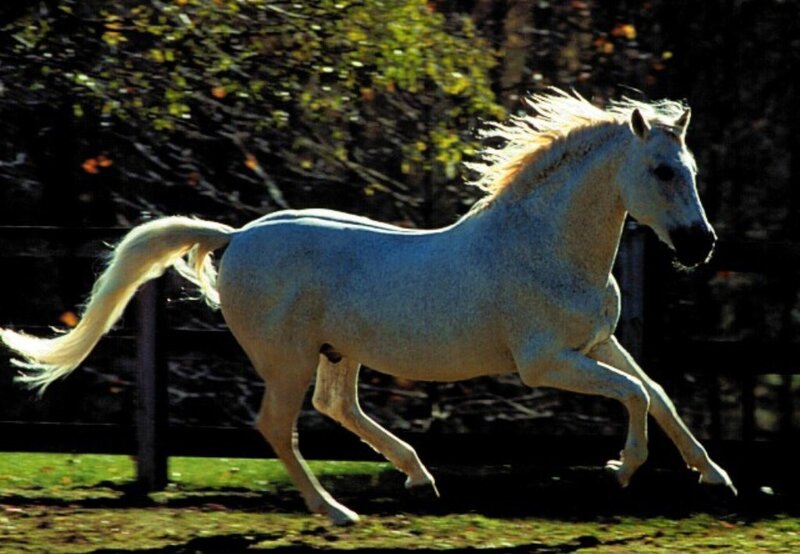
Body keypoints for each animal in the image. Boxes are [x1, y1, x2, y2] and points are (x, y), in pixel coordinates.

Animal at [1, 90, 735, 525]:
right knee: (278, 425)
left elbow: (659, 394)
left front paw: (716, 477)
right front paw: (622, 470)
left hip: (338, 353)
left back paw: (418, 477)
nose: (700, 246)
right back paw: (337, 512)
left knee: (336, 407)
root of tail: (233, 237)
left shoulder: (596, 343)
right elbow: (634, 397)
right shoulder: (545, 363)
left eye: (694, 169)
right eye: (663, 171)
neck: (544, 246)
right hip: (287, 359)